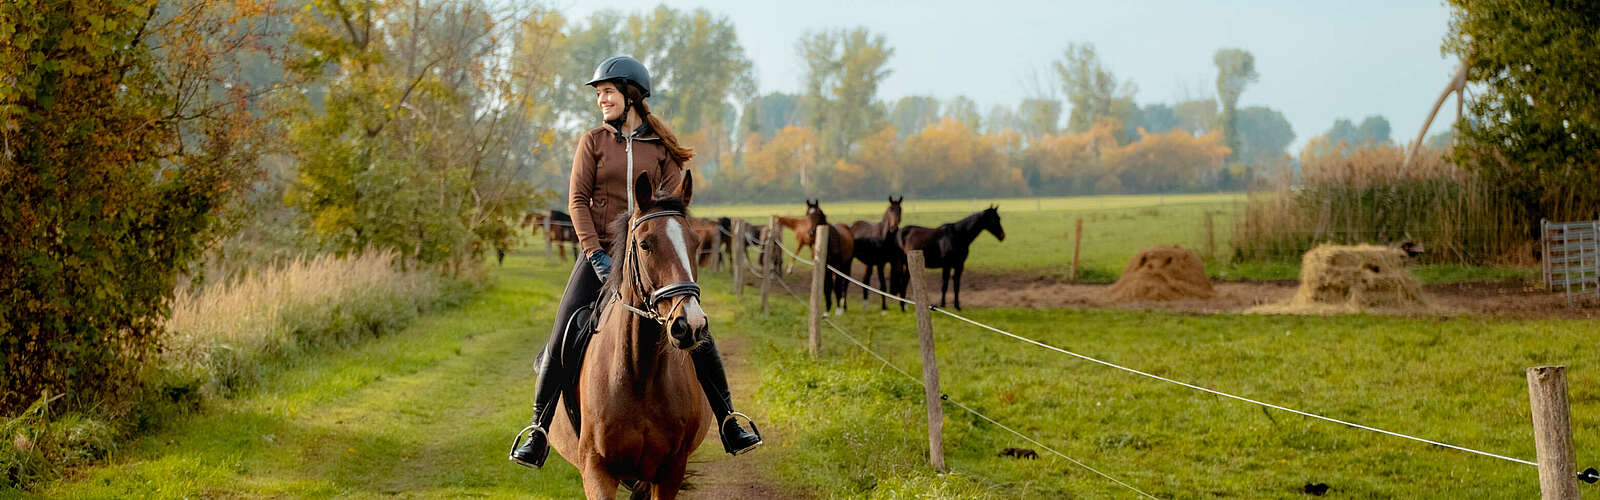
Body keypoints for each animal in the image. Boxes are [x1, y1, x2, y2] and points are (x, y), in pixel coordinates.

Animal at [545, 171, 714, 500]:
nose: (690, 325)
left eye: (696, 242)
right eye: (646, 244)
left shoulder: (670, 471)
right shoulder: (596, 470)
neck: (639, 372)